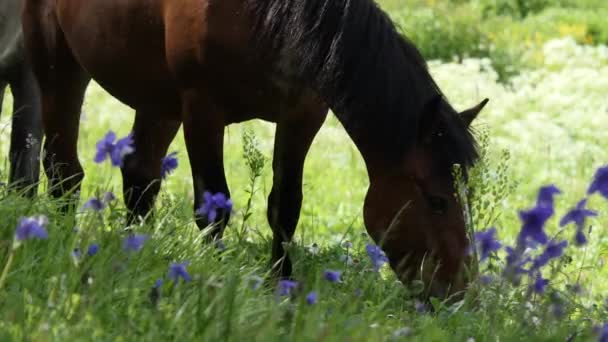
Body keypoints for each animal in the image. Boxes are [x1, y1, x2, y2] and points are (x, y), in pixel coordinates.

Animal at [22, 0, 490, 300]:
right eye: (437, 200)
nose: (460, 291)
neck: (268, 17)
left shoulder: (302, 115)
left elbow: (285, 206)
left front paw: (278, 285)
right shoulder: (202, 109)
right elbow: (213, 207)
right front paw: (209, 275)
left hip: (156, 97)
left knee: (140, 177)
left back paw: (132, 251)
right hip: (57, 60)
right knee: (64, 167)